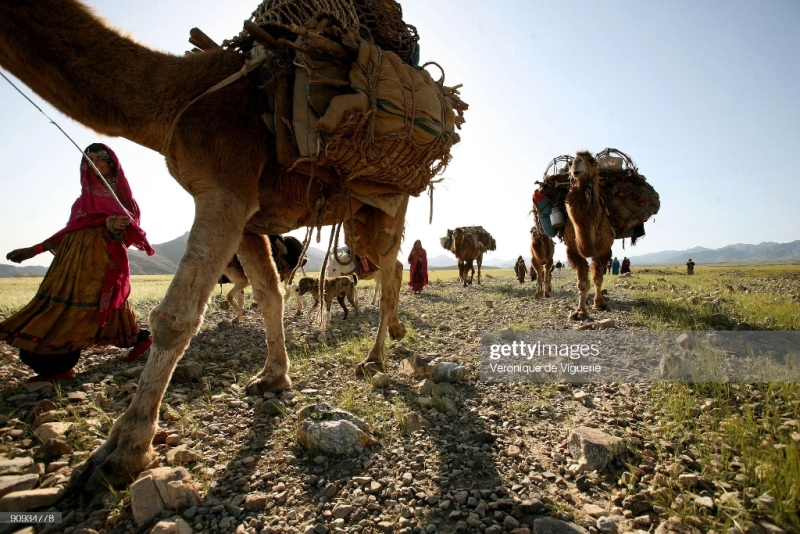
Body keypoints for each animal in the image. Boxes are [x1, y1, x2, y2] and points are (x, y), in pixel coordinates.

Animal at [0, 0, 466, 494]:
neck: (185, 93)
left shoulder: (224, 188)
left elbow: (174, 318)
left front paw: (121, 451)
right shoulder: (249, 217)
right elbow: (269, 294)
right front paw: (274, 377)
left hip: (390, 201)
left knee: (390, 270)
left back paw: (374, 358)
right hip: (359, 210)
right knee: (387, 267)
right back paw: (393, 333)